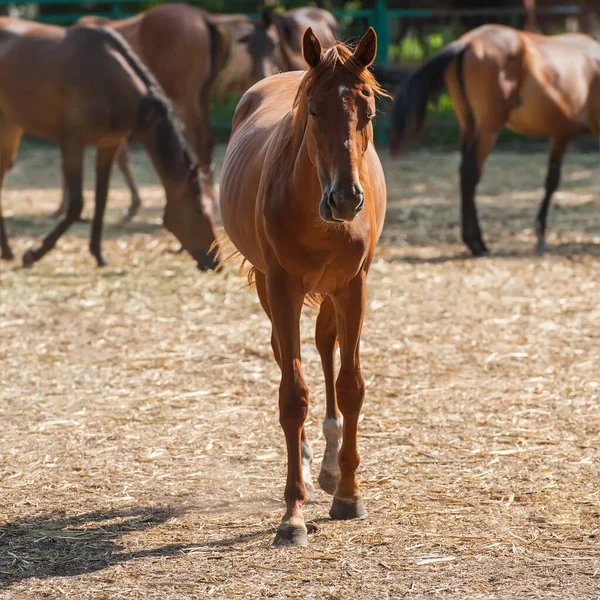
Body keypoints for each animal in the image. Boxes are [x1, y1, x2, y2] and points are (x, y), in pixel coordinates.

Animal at [0, 18, 219, 270]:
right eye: (198, 209)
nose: (216, 261)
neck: (108, 79)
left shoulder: (109, 144)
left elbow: (101, 199)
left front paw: (97, 253)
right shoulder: (72, 141)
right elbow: (76, 204)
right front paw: (35, 253)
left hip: (10, 127)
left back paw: (6, 250)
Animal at [218, 28, 386, 548]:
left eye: (369, 111)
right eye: (313, 111)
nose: (346, 199)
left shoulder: (354, 286)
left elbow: (351, 386)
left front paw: (349, 494)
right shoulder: (282, 286)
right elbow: (292, 396)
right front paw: (292, 513)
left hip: (333, 292)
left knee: (326, 346)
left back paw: (330, 465)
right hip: (269, 288)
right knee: (282, 349)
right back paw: (313, 463)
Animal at [390, 24, 600, 255]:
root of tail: (467, 42)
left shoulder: (560, 133)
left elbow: (551, 180)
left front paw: (540, 235)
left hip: (468, 124)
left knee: (465, 172)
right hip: (488, 128)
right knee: (471, 173)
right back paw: (476, 243)